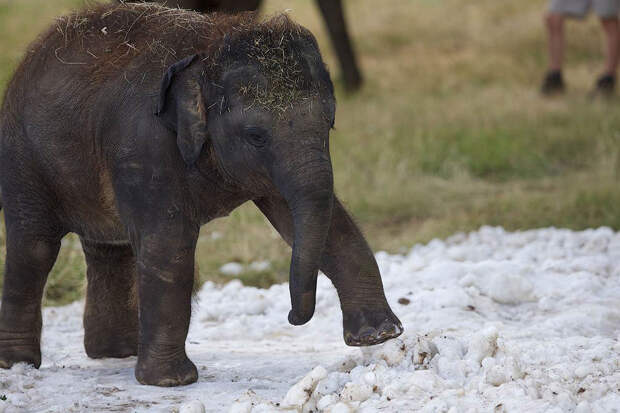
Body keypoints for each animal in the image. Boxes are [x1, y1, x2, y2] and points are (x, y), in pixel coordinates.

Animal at [0, 3, 402, 386]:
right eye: (256, 136)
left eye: (329, 124)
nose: (292, 317)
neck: (209, 49)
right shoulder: (144, 145)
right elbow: (169, 245)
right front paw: (172, 382)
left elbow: (324, 220)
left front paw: (380, 336)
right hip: (22, 159)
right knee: (34, 247)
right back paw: (19, 363)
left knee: (109, 249)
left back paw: (116, 353)